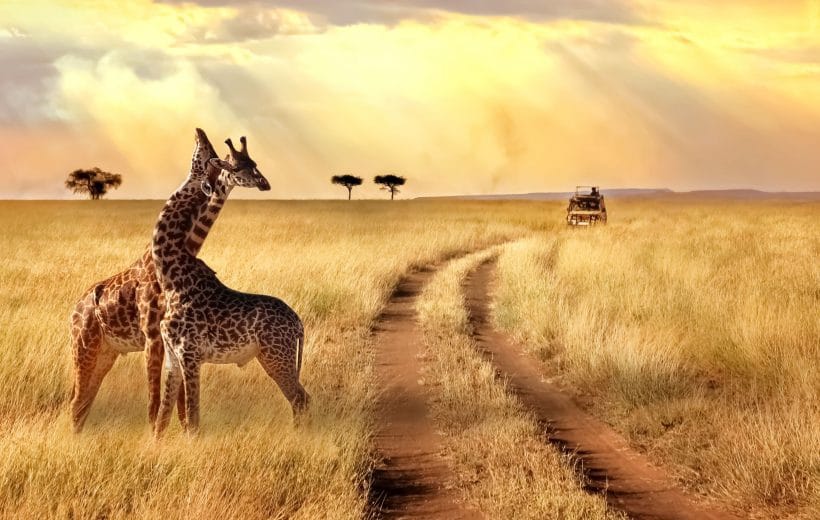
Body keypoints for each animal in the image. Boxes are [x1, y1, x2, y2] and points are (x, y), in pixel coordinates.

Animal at [68, 128, 269, 433]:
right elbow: (158, 403)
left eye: (253, 163)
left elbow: (179, 405)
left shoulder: (171, 340)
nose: (200, 132)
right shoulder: (154, 337)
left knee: (83, 402)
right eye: (233, 164)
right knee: (76, 402)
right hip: (84, 348)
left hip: (106, 352)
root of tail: (74, 310)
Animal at [152, 137, 309, 438]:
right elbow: (161, 421)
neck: (171, 278)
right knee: (302, 397)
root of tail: (298, 323)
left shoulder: (190, 355)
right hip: (272, 357)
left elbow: (193, 420)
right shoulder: (172, 358)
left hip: (277, 356)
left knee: (300, 398)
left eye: (205, 157)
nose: (264, 183)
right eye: (239, 165)